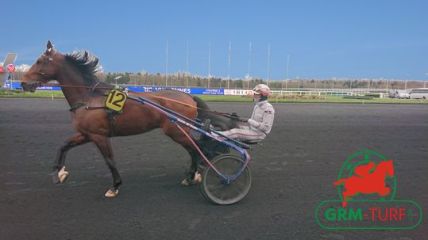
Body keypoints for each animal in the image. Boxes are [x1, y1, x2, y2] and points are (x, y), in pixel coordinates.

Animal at [20, 41, 241, 198]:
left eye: (40, 61)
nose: (23, 82)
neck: (89, 97)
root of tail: (188, 97)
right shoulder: (87, 134)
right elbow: (63, 146)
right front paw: (59, 173)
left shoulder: (99, 136)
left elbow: (109, 160)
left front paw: (115, 186)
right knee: (195, 149)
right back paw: (191, 175)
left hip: (177, 131)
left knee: (196, 149)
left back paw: (195, 175)